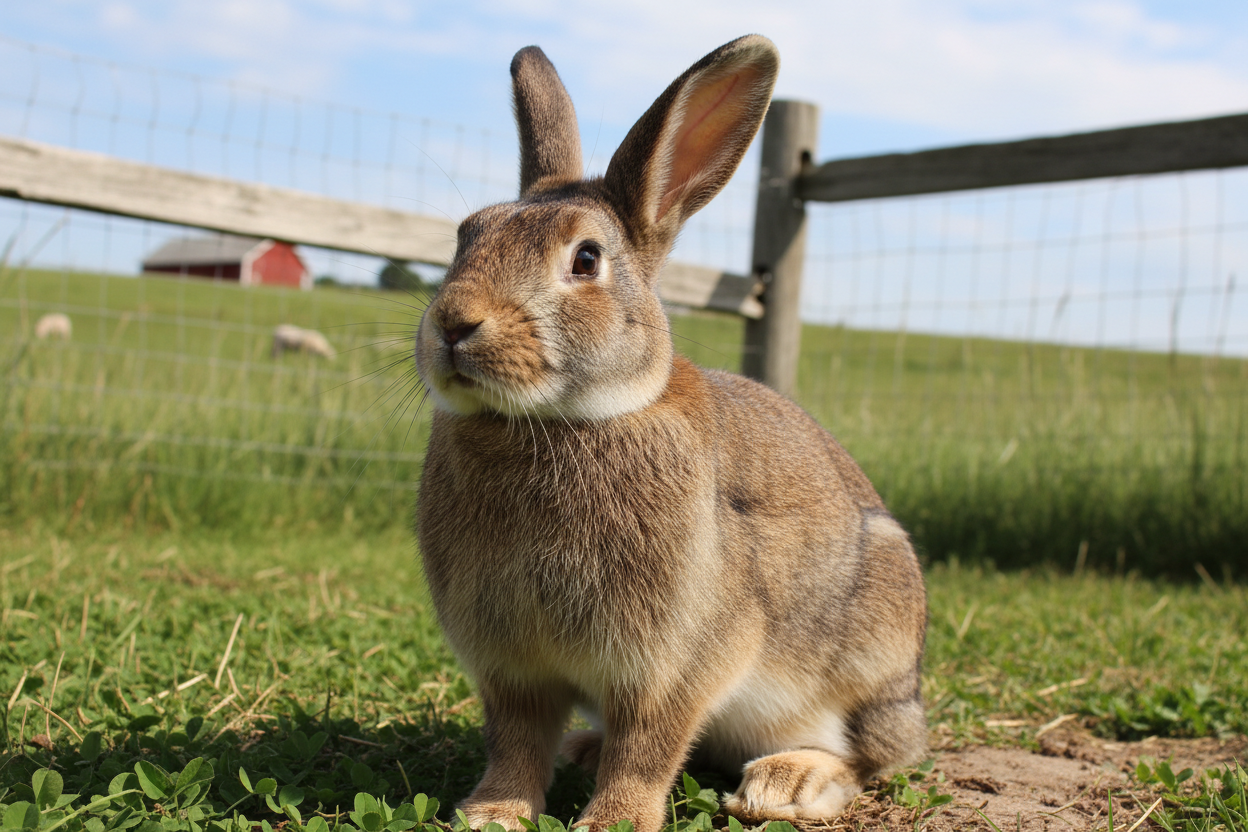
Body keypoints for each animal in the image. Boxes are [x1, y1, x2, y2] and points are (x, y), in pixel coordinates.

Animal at [414, 34, 928, 832]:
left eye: (586, 259)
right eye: (466, 238)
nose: (453, 324)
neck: (561, 419)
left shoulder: (675, 663)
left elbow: (647, 748)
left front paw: (613, 821)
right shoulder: (511, 668)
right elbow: (518, 742)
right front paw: (491, 813)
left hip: (871, 657)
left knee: (871, 757)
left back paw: (787, 784)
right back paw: (584, 750)